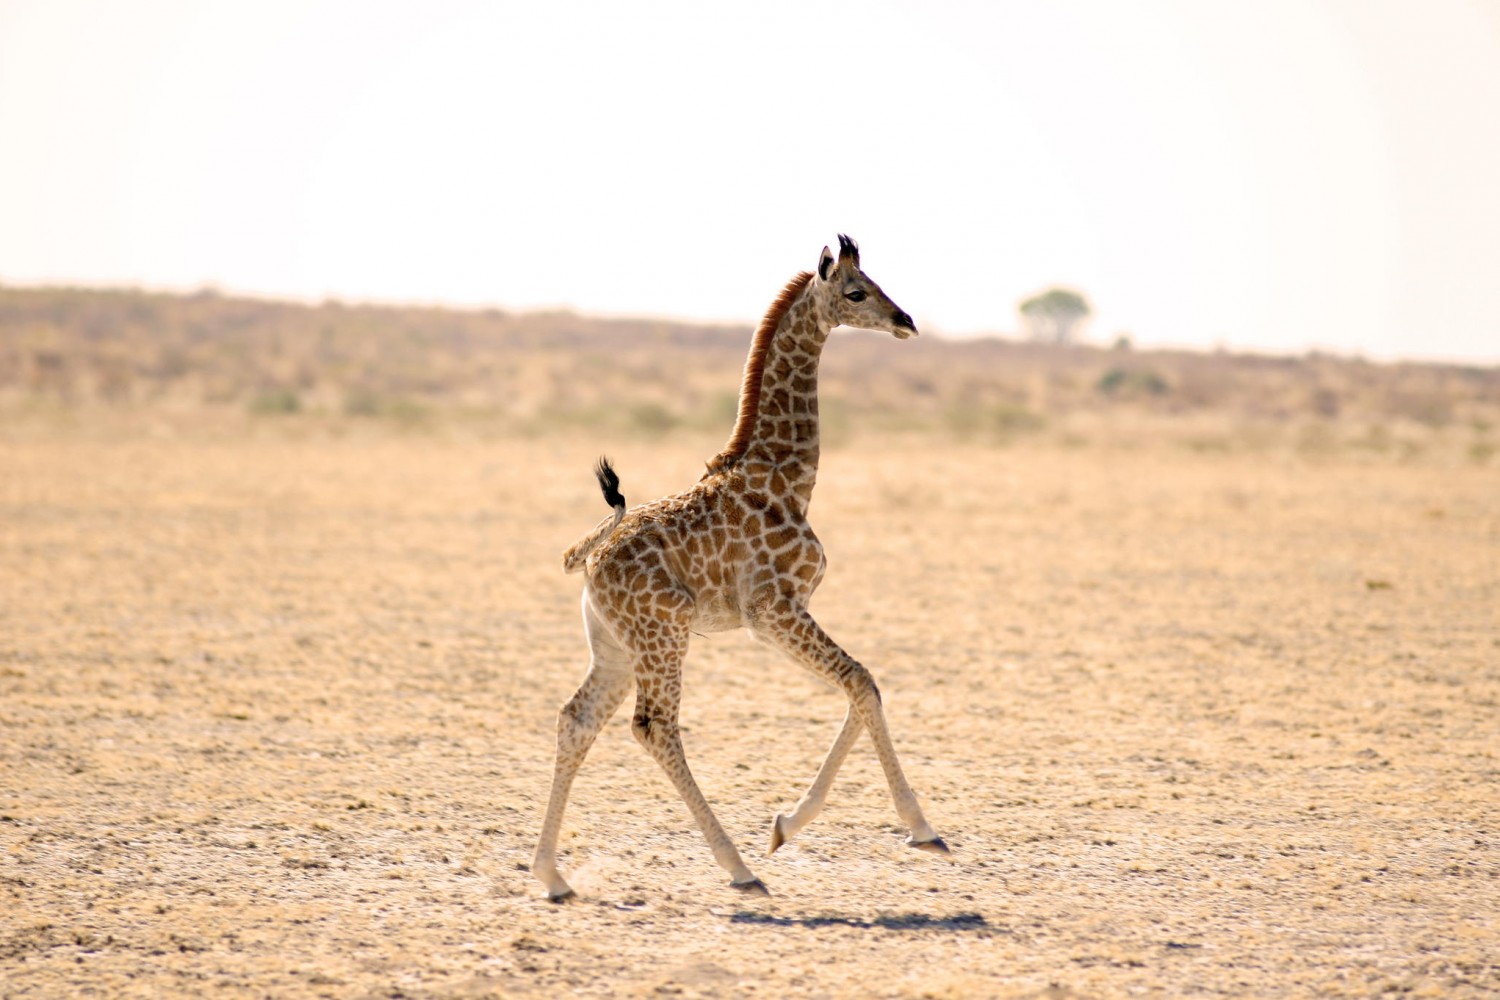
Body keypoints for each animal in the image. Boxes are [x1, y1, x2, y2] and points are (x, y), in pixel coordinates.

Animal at [534, 238, 942, 905]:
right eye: (856, 291)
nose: (906, 321)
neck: (787, 480)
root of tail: (587, 560)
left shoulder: (781, 615)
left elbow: (860, 685)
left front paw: (787, 824)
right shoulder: (772, 610)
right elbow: (860, 682)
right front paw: (919, 828)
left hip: (615, 645)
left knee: (577, 720)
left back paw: (552, 875)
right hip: (664, 634)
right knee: (655, 728)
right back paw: (739, 867)